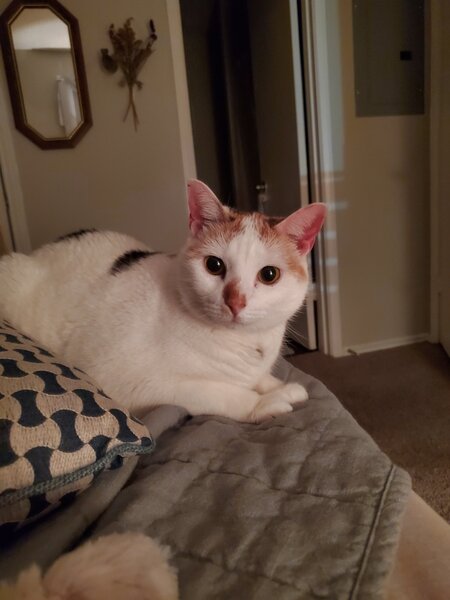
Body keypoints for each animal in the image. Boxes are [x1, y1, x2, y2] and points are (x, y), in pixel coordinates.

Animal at [0, 180, 326, 424]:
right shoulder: (132, 383)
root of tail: (39, 251)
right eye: (214, 266)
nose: (235, 301)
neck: (242, 344)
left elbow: (257, 378)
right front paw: (266, 402)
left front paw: (277, 386)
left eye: (269, 274)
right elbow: (219, 391)